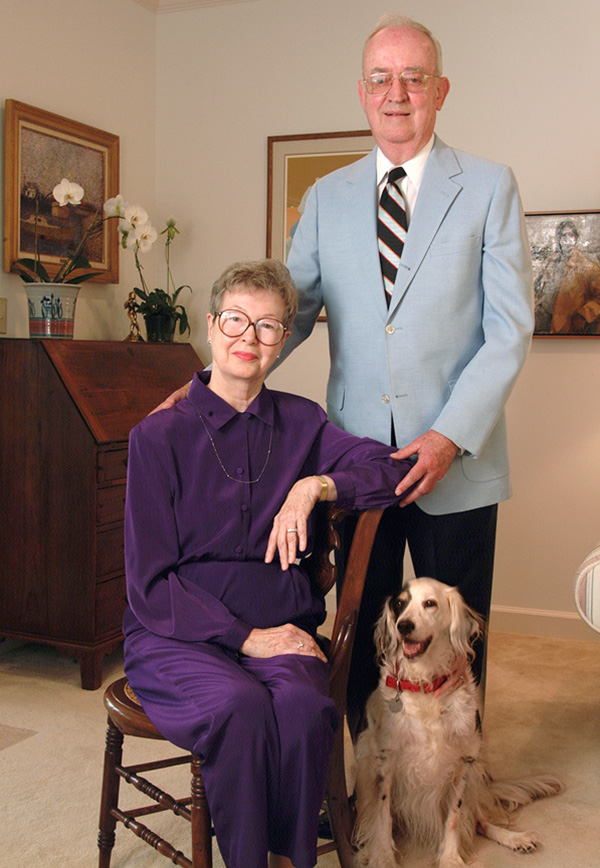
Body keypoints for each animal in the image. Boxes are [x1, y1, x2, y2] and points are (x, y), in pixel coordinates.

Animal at [354, 576, 560, 868]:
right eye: (399, 604)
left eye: (430, 603)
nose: (404, 626)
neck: (425, 687)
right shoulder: (385, 761)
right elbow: (383, 816)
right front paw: (382, 856)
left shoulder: (463, 763)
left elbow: (454, 818)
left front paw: (450, 858)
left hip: (474, 776)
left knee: (478, 821)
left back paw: (514, 838)